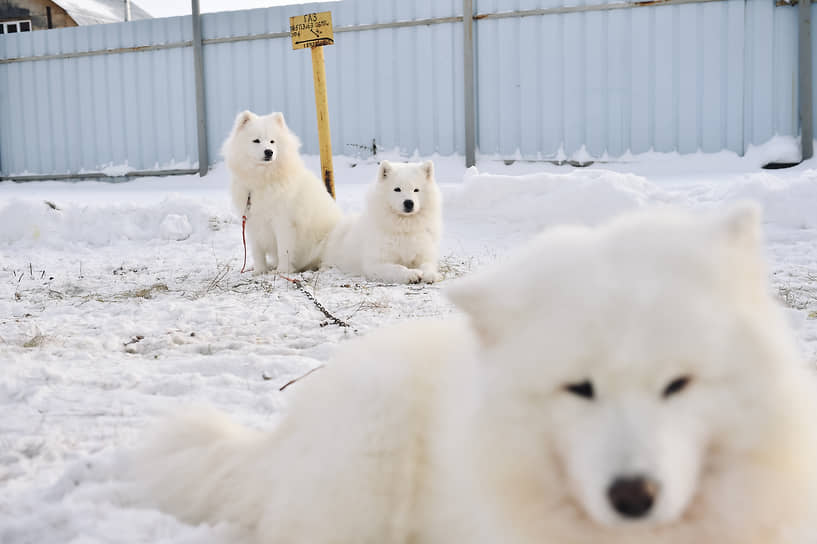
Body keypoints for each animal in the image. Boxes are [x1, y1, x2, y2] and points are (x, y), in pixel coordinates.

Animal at [222, 110, 340, 274]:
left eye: (272, 141)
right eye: (256, 141)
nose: (269, 152)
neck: (263, 180)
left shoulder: (283, 222)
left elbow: (284, 250)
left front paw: (283, 271)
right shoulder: (252, 222)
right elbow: (257, 252)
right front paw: (260, 270)